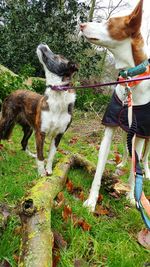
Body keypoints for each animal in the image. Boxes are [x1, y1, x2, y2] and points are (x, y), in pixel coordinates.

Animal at [0, 44, 77, 176]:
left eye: (57, 56)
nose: (43, 44)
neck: (58, 94)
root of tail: (13, 92)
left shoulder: (58, 135)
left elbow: (51, 155)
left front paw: (49, 170)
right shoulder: (41, 132)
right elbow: (41, 156)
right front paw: (41, 173)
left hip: (29, 128)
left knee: (23, 143)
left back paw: (30, 154)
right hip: (7, 120)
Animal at [80, 0, 150, 214]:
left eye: (109, 23)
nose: (81, 25)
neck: (130, 80)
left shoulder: (141, 131)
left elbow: (136, 170)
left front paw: (132, 197)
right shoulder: (110, 128)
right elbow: (99, 169)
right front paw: (91, 201)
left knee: (143, 157)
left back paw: (146, 171)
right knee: (128, 151)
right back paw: (124, 163)